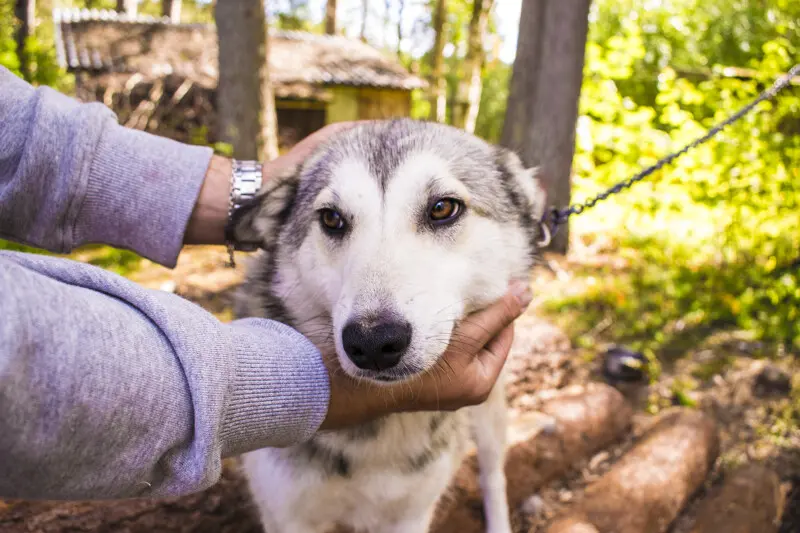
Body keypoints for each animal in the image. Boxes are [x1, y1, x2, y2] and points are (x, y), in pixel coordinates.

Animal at [228, 120, 548, 532]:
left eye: (443, 208)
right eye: (331, 219)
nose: (373, 341)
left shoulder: (412, 513)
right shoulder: (288, 515)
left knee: (493, 475)